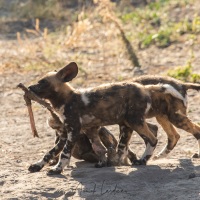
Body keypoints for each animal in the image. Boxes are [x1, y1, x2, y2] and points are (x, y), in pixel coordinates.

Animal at [27, 61, 184, 174]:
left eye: (42, 82)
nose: (29, 87)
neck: (66, 100)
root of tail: (144, 88)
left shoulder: (73, 132)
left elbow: (64, 154)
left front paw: (57, 169)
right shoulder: (65, 135)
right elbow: (50, 153)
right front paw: (37, 166)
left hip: (134, 121)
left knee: (152, 139)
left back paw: (142, 161)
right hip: (129, 123)